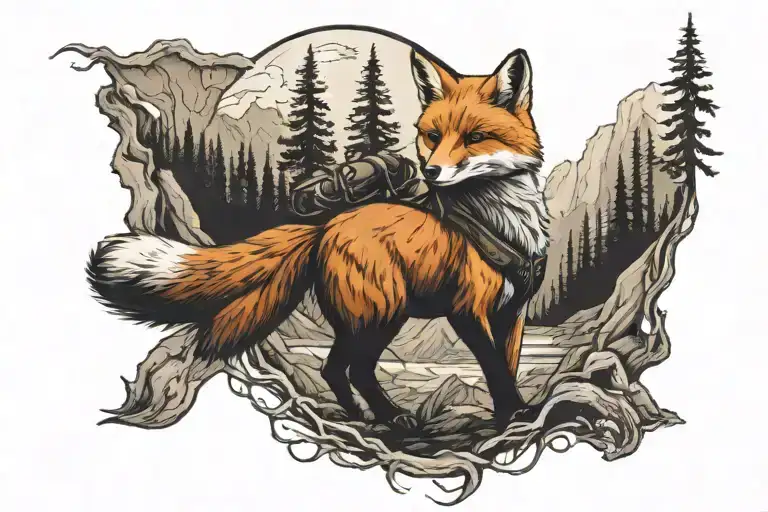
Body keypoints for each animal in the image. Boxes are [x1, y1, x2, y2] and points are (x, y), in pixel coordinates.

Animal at [87, 48, 548, 430]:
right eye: (433, 136)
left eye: (474, 137)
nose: (432, 171)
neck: (505, 224)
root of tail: (324, 226)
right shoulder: (467, 310)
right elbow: (494, 368)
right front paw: (513, 414)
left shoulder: (511, 313)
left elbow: (506, 365)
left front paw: (511, 414)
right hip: (380, 313)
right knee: (351, 369)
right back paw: (387, 417)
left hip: (369, 318)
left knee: (335, 369)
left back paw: (360, 415)